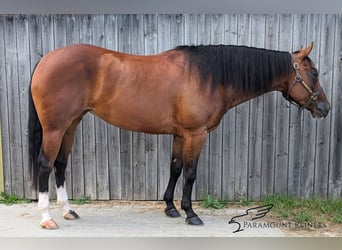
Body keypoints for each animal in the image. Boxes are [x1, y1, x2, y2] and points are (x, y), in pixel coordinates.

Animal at [28, 42, 328, 229]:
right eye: (313, 73)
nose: (324, 108)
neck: (209, 77)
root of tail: (45, 60)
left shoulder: (180, 135)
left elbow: (175, 168)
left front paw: (170, 208)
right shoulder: (196, 134)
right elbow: (191, 173)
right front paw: (191, 214)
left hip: (71, 125)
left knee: (61, 164)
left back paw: (68, 211)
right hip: (55, 128)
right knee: (45, 165)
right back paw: (46, 218)